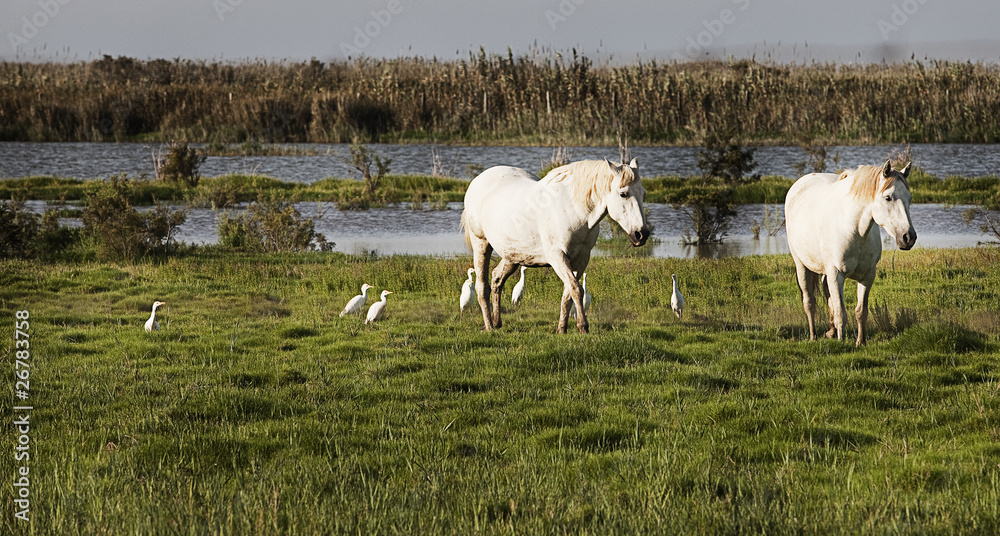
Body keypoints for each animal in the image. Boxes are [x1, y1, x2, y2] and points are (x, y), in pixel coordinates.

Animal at [460, 159, 650, 333]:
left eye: (643, 194)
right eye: (623, 194)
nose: (642, 234)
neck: (572, 209)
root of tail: (478, 180)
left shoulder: (581, 259)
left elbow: (568, 293)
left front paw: (562, 329)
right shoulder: (557, 256)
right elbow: (576, 289)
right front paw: (583, 327)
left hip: (512, 255)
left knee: (497, 279)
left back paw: (496, 322)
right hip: (481, 245)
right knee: (482, 287)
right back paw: (489, 326)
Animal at [784, 160, 917, 346]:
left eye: (909, 199)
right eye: (888, 197)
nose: (909, 237)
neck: (854, 230)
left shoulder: (867, 276)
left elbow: (861, 311)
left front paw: (860, 342)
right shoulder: (836, 274)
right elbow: (841, 312)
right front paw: (842, 342)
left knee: (827, 296)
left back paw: (831, 331)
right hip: (801, 266)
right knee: (809, 302)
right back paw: (813, 336)